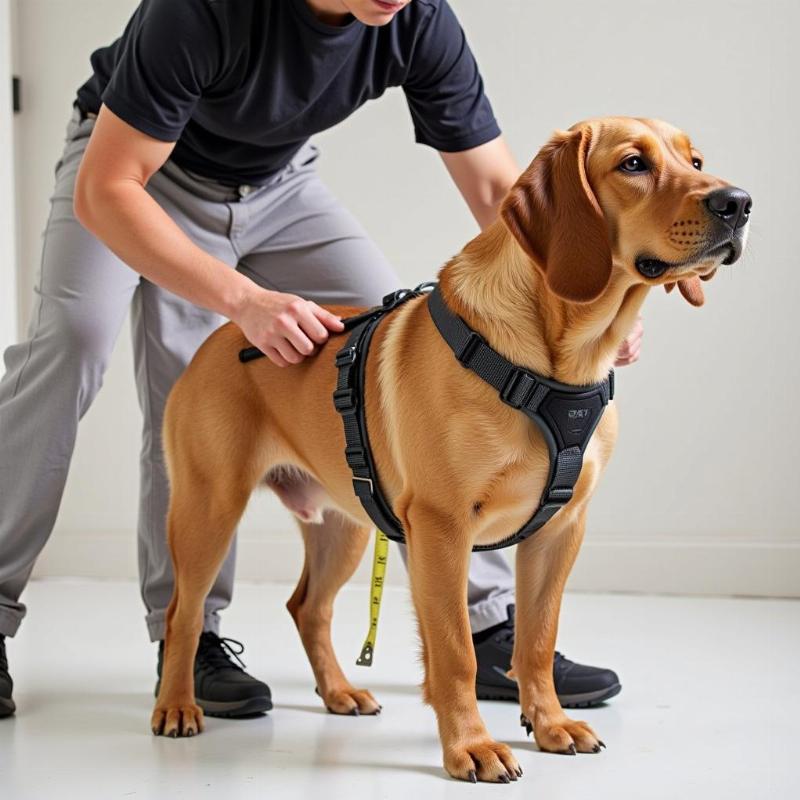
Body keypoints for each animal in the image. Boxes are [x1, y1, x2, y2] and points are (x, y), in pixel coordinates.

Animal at [150, 117, 752, 780]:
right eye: (633, 164)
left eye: (695, 161)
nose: (738, 203)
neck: (555, 360)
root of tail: (220, 337)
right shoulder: (442, 529)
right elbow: (456, 651)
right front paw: (471, 745)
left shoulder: (561, 527)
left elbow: (536, 640)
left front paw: (550, 723)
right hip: (209, 509)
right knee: (182, 613)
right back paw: (177, 705)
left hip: (347, 525)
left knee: (308, 608)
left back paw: (339, 692)